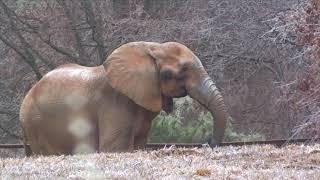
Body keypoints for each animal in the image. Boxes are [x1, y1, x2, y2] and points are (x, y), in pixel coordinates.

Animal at [18, 41, 229, 155]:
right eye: (171, 74)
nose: (208, 141)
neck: (152, 47)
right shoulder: (115, 103)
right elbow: (114, 148)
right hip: (37, 124)